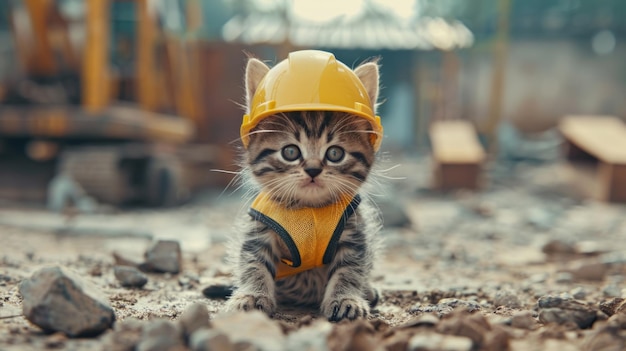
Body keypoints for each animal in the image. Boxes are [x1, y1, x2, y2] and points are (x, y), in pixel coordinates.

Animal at [224, 52, 380, 322]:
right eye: (290, 152)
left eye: (335, 153)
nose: (313, 169)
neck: (310, 210)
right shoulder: (259, 230)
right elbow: (253, 263)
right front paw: (252, 295)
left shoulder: (353, 232)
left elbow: (349, 269)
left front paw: (346, 298)